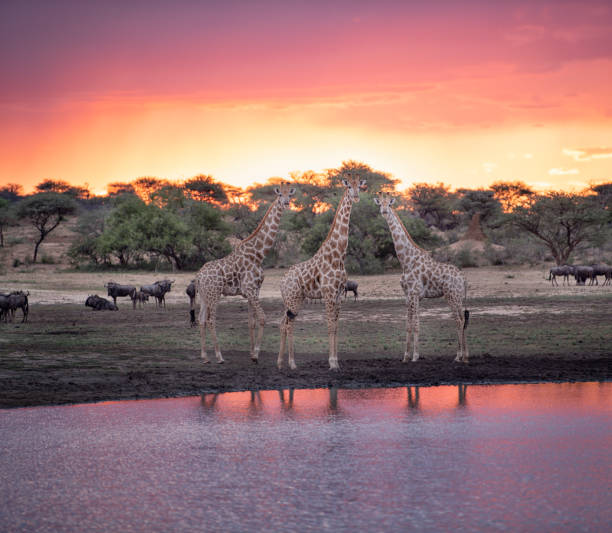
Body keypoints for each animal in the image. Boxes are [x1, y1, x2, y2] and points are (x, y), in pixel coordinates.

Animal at [191, 182, 296, 362]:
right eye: (279, 195)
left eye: (290, 194)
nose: (286, 203)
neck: (259, 254)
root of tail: (198, 276)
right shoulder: (251, 289)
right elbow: (262, 318)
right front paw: (256, 354)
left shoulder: (253, 291)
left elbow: (251, 322)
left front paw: (252, 352)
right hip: (214, 294)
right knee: (211, 320)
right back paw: (219, 356)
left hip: (204, 296)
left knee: (201, 319)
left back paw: (205, 356)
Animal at [278, 175, 368, 370]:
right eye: (349, 186)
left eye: (360, 187)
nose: (356, 196)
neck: (338, 255)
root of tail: (281, 281)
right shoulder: (328, 294)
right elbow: (329, 326)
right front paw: (332, 363)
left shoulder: (339, 294)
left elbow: (336, 326)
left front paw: (336, 362)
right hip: (293, 299)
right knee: (289, 325)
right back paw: (292, 363)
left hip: (293, 300)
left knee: (283, 323)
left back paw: (280, 363)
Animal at [372, 193, 468, 364]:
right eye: (380, 204)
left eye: (389, 204)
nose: (384, 211)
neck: (406, 260)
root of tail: (463, 278)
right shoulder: (408, 296)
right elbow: (408, 324)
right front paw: (405, 356)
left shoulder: (415, 294)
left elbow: (416, 323)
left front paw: (415, 356)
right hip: (458, 297)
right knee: (463, 319)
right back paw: (465, 355)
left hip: (452, 296)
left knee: (459, 321)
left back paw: (458, 356)